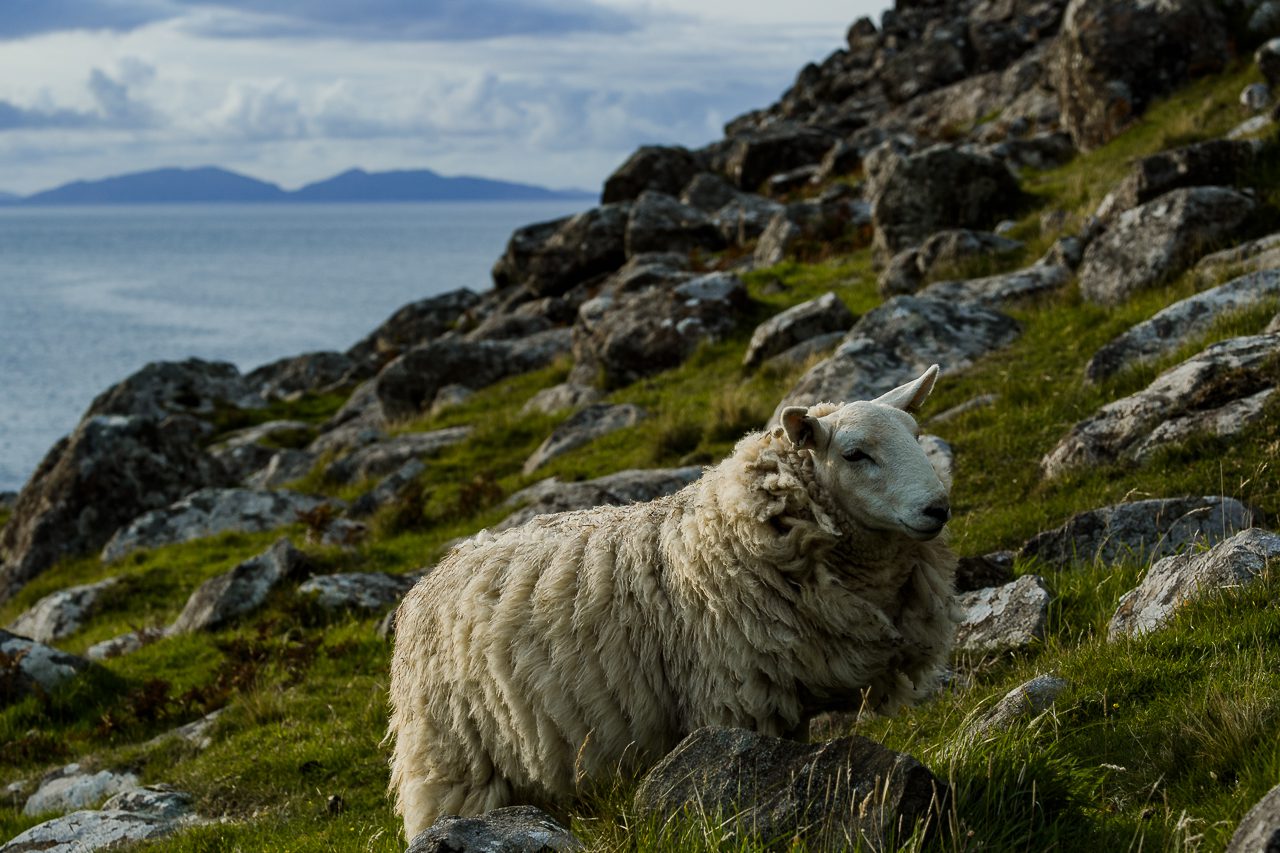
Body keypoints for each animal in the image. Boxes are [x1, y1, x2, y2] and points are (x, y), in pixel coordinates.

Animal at [384, 361, 957, 835]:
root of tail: (442, 566)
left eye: (916, 435)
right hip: (452, 760)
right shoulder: (735, 701)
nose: (937, 508)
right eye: (855, 454)